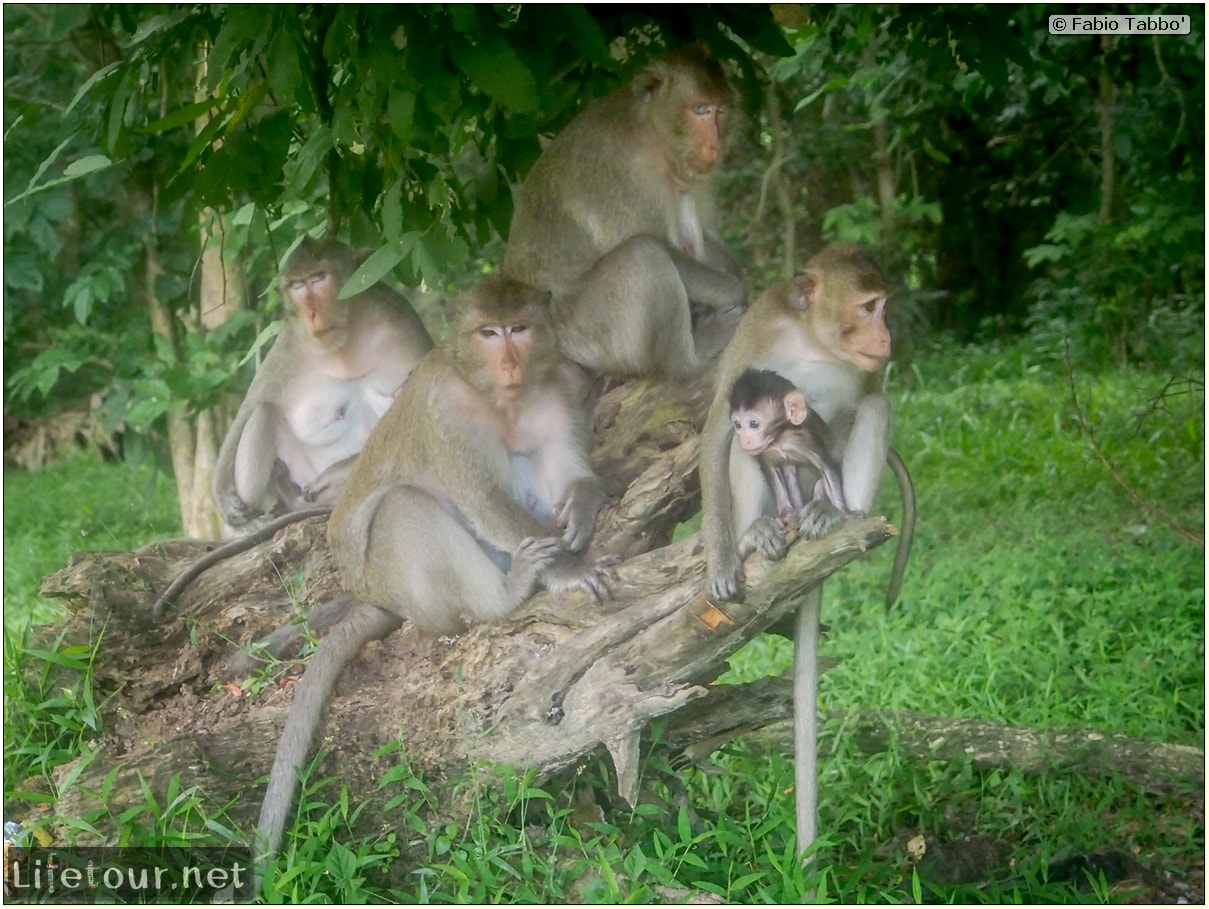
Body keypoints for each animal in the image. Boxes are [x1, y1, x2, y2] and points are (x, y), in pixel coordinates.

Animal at [213, 238, 435, 529]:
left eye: (318, 279)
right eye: (297, 286)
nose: (311, 313)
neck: (345, 341)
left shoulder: (401, 320)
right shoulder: (291, 344)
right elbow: (251, 404)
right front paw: (224, 497)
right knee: (264, 412)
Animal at [257, 276, 614, 865]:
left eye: (519, 328)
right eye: (488, 333)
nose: (510, 361)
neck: (500, 398)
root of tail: (375, 596)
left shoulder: (557, 391)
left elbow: (571, 471)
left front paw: (581, 511)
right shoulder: (448, 412)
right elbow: (480, 497)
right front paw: (568, 569)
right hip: (407, 587)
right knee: (406, 507)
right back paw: (506, 594)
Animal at [500, 41, 744, 377]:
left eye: (720, 111)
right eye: (699, 110)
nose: (715, 146)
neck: (650, 130)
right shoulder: (623, 169)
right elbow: (660, 246)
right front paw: (738, 289)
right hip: (590, 330)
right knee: (644, 252)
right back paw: (689, 359)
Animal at [725, 365, 851, 529]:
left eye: (754, 424)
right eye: (738, 425)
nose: (745, 441)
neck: (780, 438)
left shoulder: (807, 439)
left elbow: (827, 468)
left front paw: (842, 512)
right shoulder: (767, 450)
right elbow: (772, 471)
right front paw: (785, 513)